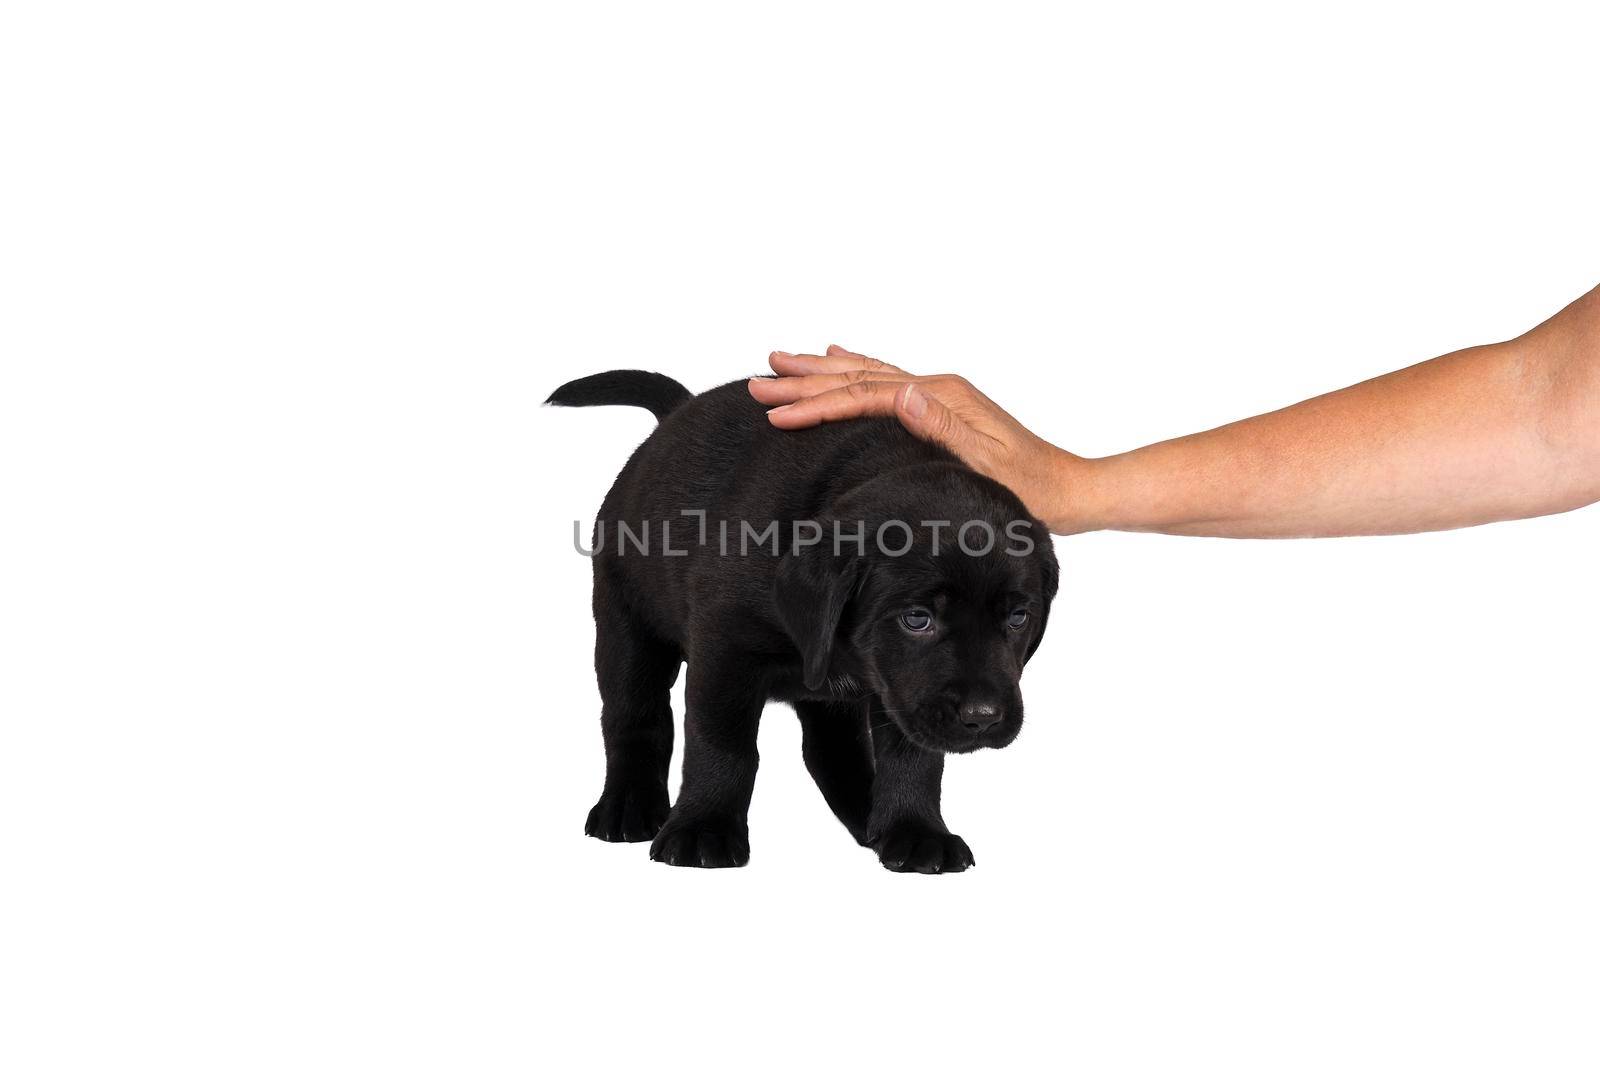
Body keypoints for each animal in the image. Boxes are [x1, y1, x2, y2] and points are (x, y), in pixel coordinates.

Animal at [544, 371, 1056, 870]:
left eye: (1018, 617)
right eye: (917, 619)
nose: (983, 718)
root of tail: (676, 414)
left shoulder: (899, 691)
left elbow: (913, 757)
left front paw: (915, 831)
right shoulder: (725, 651)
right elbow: (721, 743)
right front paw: (703, 829)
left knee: (832, 751)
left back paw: (868, 819)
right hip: (627, 625)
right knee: (634, 715)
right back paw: (628, 808)